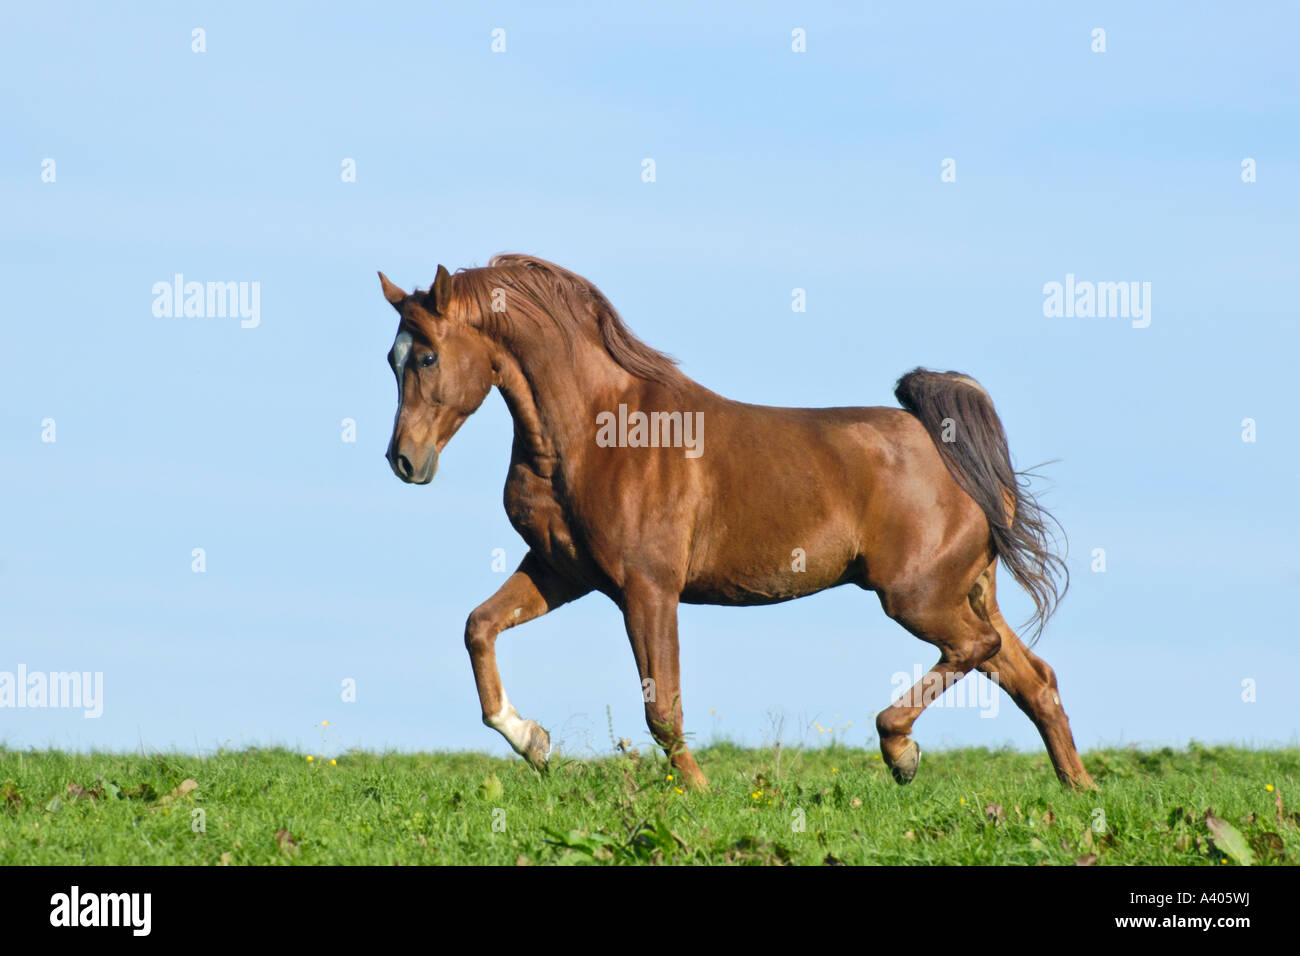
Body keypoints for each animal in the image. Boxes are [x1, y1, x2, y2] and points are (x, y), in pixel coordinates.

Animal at [377, 254, 1094, 791]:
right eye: (392, 358)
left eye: (428, 356)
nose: (404, 461)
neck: (597, 432)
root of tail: (955, 454)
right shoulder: (561, 572)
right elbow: (479, 627)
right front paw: (533, 741)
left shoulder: (648, 589)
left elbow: (662, 707)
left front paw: (697, 792)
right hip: (963, 591)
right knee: (1033, 678)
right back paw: (1078, 789)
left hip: (917, 596)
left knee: (981, 650)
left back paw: (901, 752)